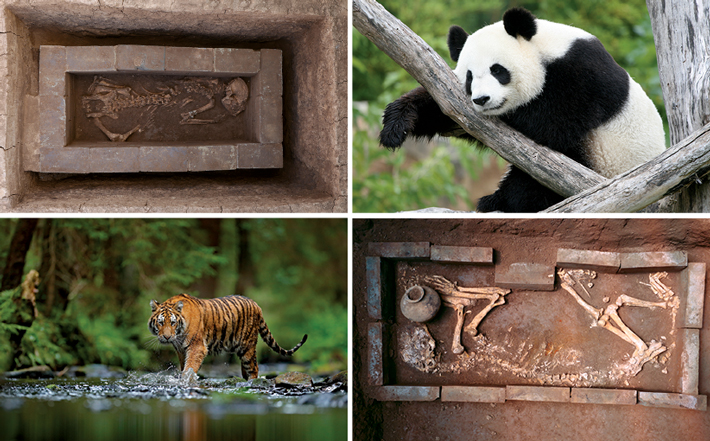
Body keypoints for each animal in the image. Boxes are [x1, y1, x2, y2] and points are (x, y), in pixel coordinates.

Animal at [149, 292, 308, 378]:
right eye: (161, 323)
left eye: (173, 323)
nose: (167, 337)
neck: (179, 334)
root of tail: (257, 305)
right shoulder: (181, 350)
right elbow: (184, 366)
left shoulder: (197, 347)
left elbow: (190, 367)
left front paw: (186, 380)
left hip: (247, 347)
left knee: (254, 368)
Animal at [384, 7, 668, 212]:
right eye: (469, 77)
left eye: (497, 70)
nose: (482, 99)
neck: (545, 48)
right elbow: (446, 108)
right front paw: (396, 124)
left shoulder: (582, 76)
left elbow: (550, 125)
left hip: (603, 158)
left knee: (537, 182)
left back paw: (497, 201)